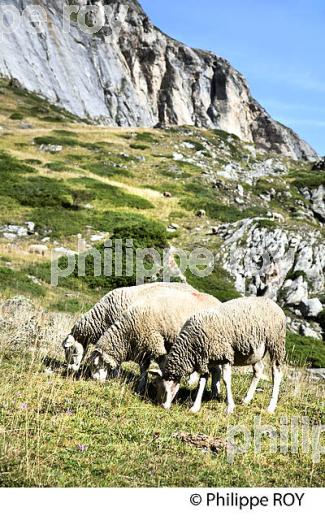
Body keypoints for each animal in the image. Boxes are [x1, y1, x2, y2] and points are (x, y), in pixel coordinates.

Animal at [87, 286, 220, 392]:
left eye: (95, 364)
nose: (94, 381)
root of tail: (217, 301)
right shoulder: (144, 348)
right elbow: (143, 369)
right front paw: (141, 386)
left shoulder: (154, 343)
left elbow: (161, 365)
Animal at [156, 296, 284, 414]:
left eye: (167, 389)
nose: (164, 406)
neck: (191, 345)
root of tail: (270, 301)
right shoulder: (205, 359)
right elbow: (202, 381)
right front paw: (195, 407)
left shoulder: (225, 355)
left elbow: (226, 380)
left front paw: (230, 407)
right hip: (255, 351)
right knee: (258, 369)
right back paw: (247, 399)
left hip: (276, 342)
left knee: (276, 373)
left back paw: (271, 406)